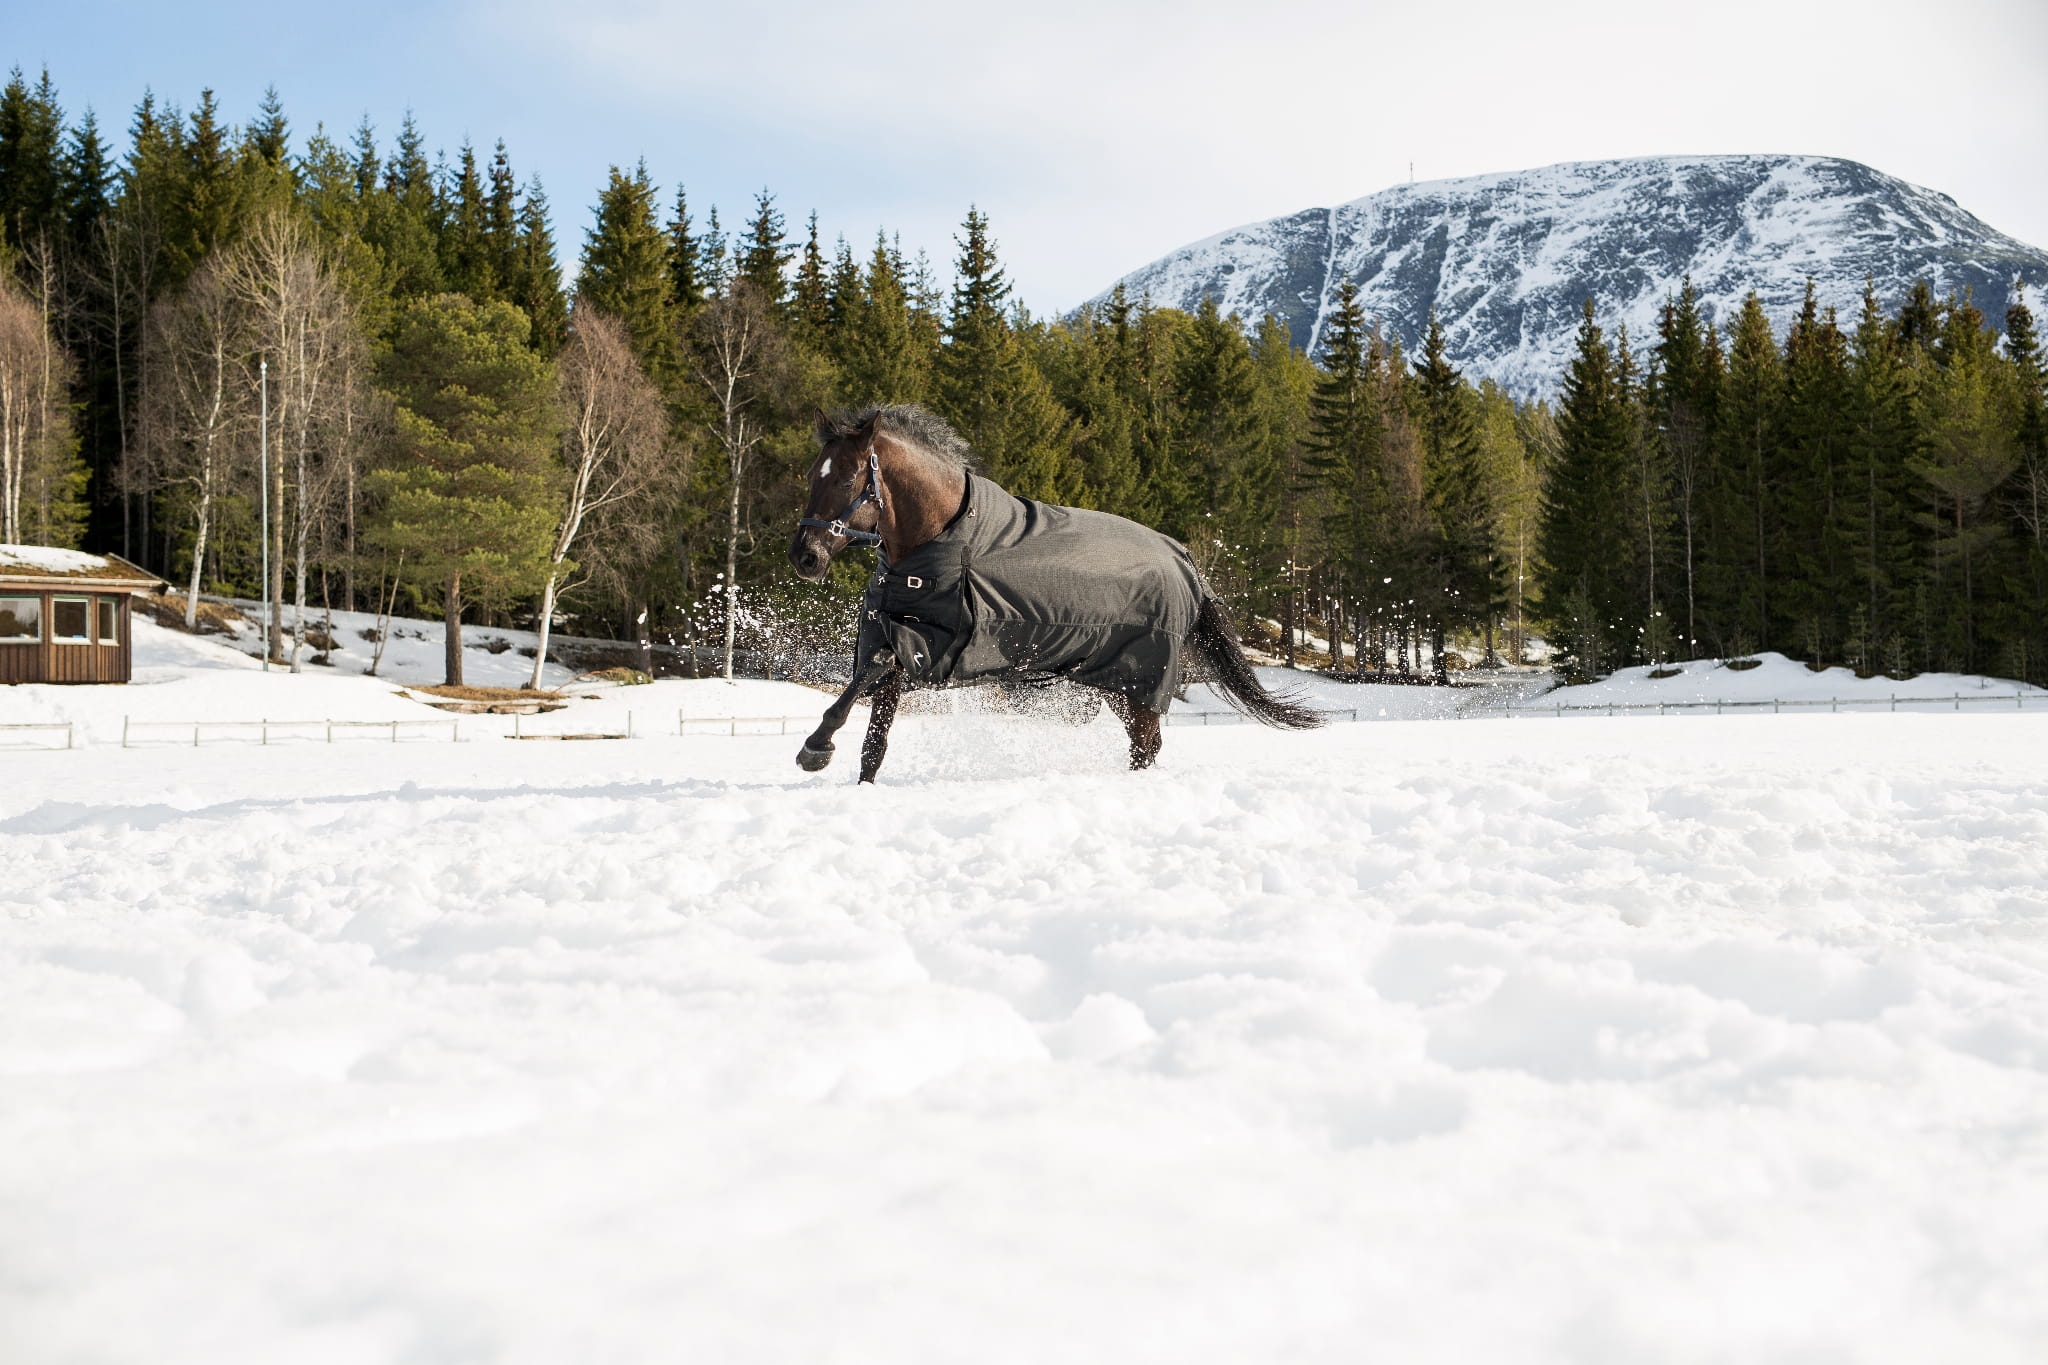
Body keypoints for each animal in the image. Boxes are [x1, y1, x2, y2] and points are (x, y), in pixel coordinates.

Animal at [787, 404, 1322, 782]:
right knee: (1144, 748)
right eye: (811, 474)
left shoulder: (932, 644)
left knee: (1145, 747)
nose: (805, 557)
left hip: (1141, 683)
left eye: (848, 478)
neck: (944, 538)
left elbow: (862, 681)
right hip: (1117, 683)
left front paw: (815, 748)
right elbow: (873, 743)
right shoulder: (895, 639)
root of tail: (1184, 559)